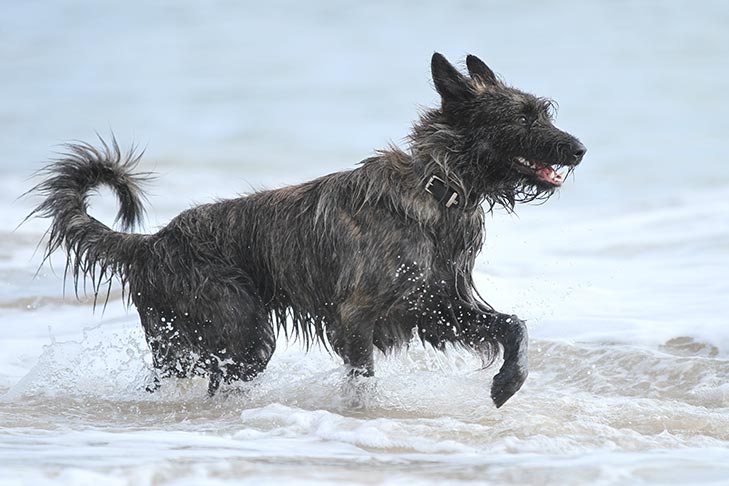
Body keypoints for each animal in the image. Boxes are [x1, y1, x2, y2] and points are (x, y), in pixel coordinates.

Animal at [28, 53, 584, 406]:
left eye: (541, 112)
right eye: (523, 118)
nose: (579, 149)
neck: (438, 188)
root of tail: (150, 244)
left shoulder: (437, 308)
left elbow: (514, 326)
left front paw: (509, 381)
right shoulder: (356, 319)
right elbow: (361, 381)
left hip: (190, 347)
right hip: (241, 333)